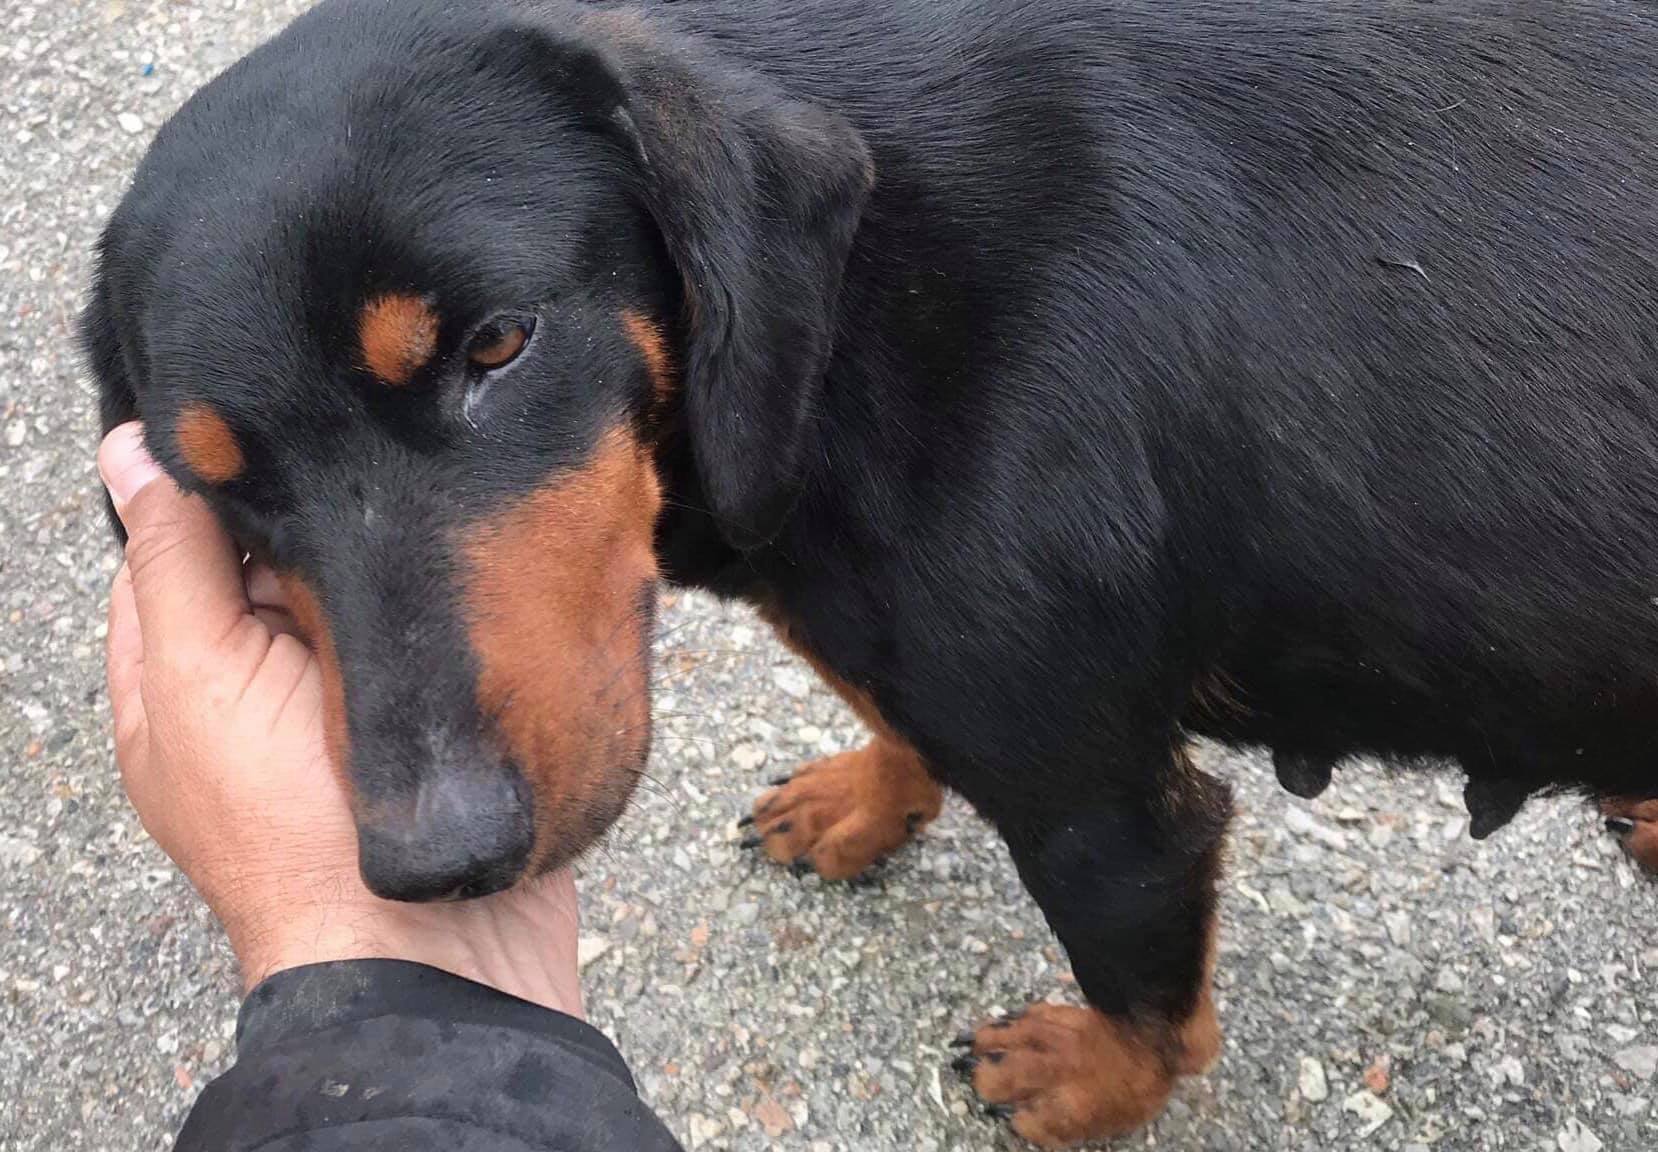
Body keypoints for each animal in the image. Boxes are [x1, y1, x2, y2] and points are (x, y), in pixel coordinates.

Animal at [84, 0, 1658, 1147]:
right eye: (216, 479)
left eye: (496, 344)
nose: (436, 864)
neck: (861, 303)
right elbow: (887, 710)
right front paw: (862, 803)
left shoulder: (1102, 806)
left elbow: (1152, 1008)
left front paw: (1082, 1087)